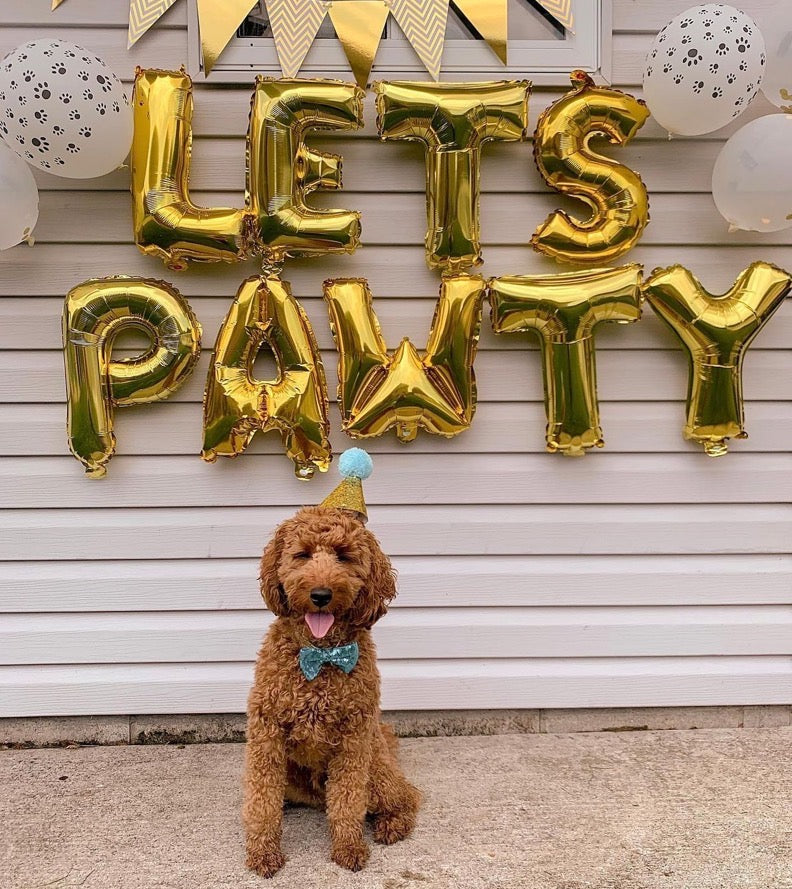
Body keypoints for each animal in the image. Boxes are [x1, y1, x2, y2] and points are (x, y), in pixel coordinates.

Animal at [244, 502, 424, 876]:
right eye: (302, 554)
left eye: (343, 556)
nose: (320, 595)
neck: (321, 654)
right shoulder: (266, 733)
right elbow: (262, 800)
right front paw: (263, 852)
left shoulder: (354, 740)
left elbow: (347, 800)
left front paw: (348, 847)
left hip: (376, 764)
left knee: (407, 796)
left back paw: (392, 824)